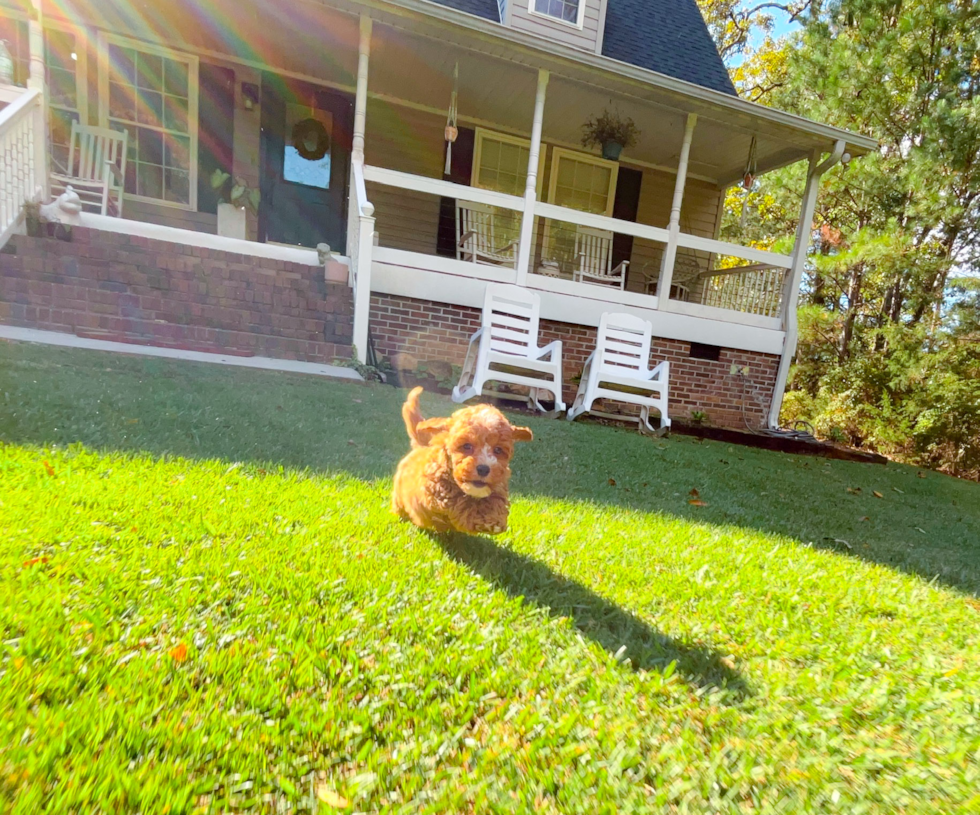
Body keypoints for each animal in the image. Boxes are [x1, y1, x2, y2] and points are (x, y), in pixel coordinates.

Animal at [390, 388, 532, 536]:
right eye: (466, 446)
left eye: (498, 450)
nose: (483, 468)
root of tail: (421, 446)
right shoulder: (434, 492)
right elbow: (457, 502)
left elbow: (496, 500)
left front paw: (493, 519)